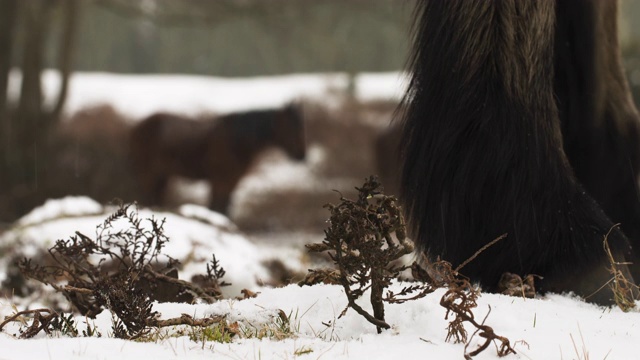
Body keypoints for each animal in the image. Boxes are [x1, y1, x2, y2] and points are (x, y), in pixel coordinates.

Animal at [129, 103, 304, 214]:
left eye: (301, 127)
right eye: (290, 128)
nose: (301, 155)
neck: (236, 141)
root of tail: (138, 126)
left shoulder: (232, 180)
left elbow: (225, 209)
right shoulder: (219, 180)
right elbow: (216, 208)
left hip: (162, 176)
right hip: (149, 174)